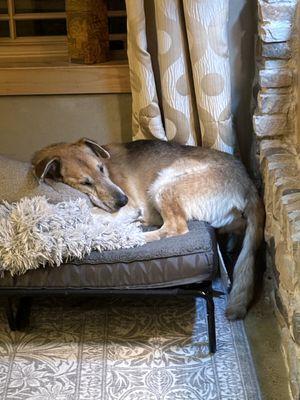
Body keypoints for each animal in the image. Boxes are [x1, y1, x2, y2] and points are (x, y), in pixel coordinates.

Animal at [31, 139, 264, 320]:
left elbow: (91, 215)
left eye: (101, 168)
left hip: (164, 185)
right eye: (85, 183)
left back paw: (132, 234)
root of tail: (247, 183)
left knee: (175, 227)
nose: (123, 200)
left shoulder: (128, 206)